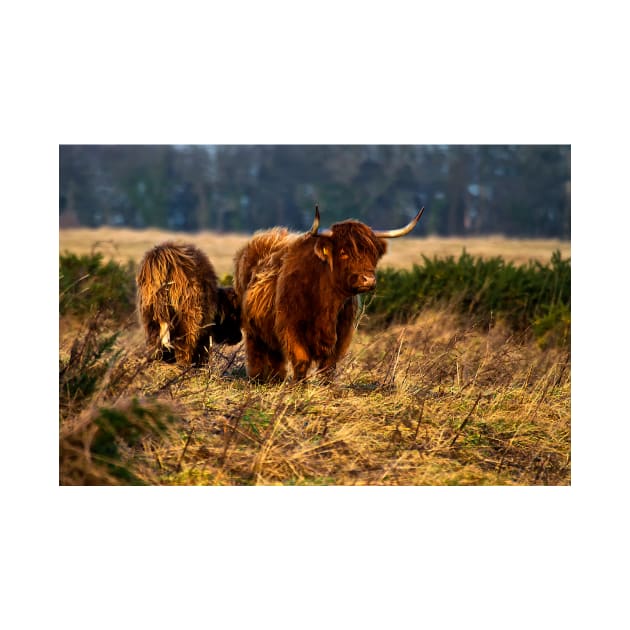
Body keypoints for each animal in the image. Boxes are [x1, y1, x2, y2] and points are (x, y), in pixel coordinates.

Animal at [235, 207, 428, 382]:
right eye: (343, 253)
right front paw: (298, 387)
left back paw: (276, 379)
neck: (327, 304)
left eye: (373, 253)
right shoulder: (291, 328)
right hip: (252, 330)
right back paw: (258, 378)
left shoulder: (341, 333)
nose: (368, 280)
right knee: (257, 352)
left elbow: (328, 366)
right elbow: (301, 360)